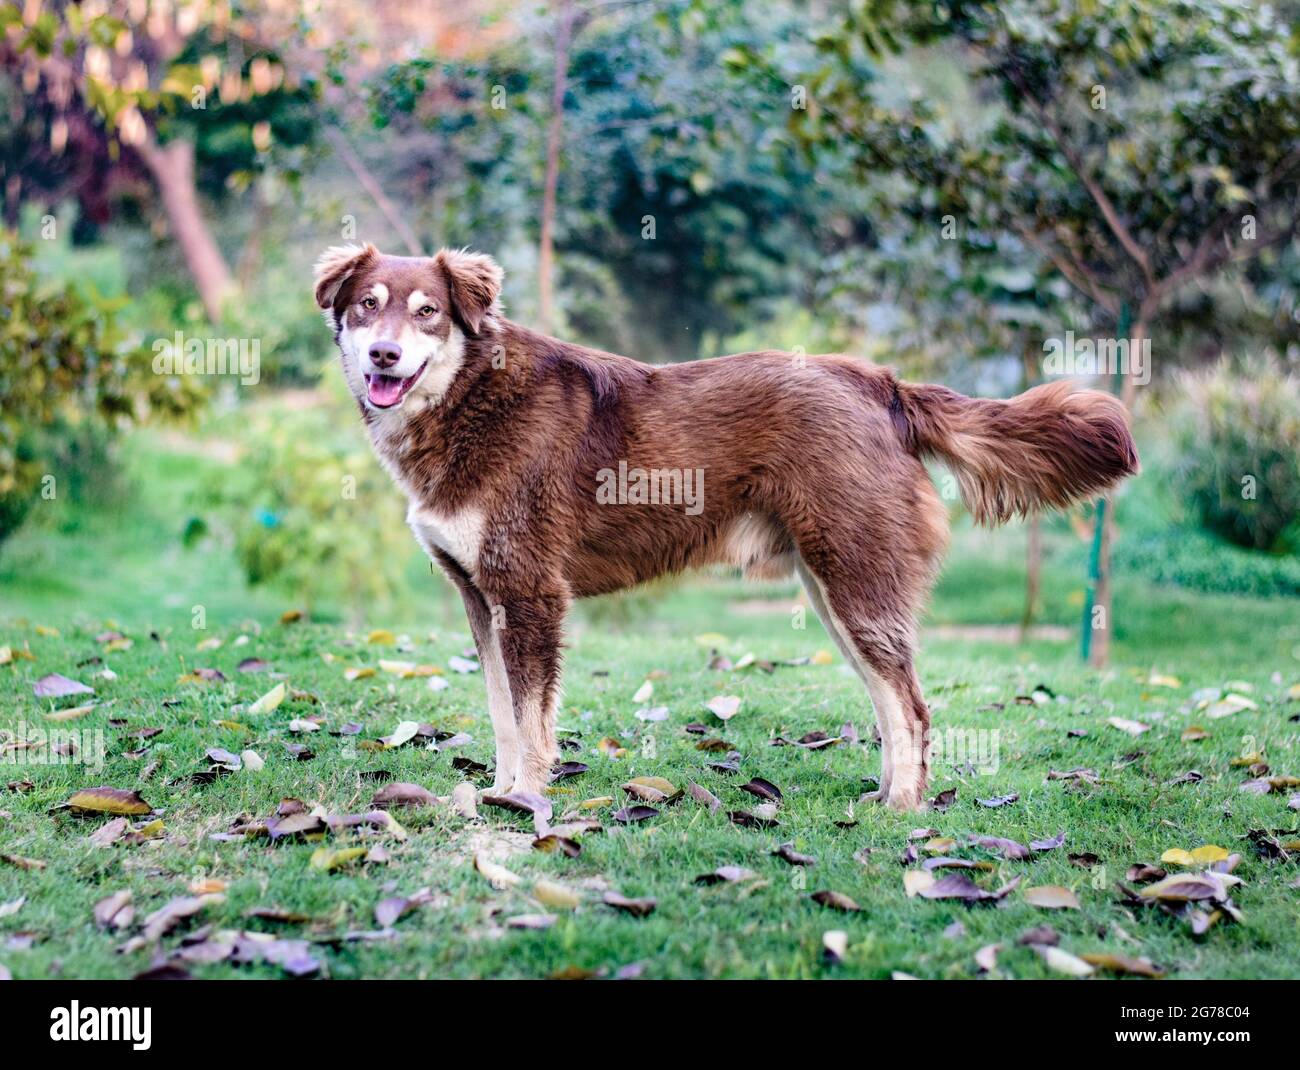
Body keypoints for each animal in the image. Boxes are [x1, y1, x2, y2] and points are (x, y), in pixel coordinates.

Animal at [314, 244, 1138, 811]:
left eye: (428, 312)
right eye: (367, 306)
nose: (385, 353)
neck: (470, 397)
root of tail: (880, 382)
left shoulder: (531, 594)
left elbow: (531, 720)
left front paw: (525, 803)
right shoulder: (481, 598)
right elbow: (501, 716)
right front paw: (498, 792)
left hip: (856, 586)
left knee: (910, 706)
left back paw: (903, 809)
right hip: (836, 594)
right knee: (888, 701)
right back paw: (883, 793)